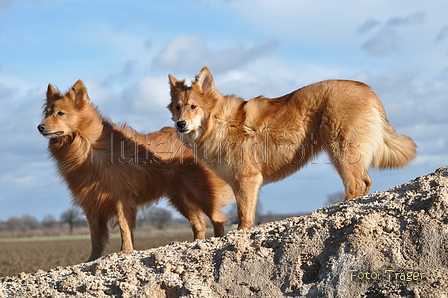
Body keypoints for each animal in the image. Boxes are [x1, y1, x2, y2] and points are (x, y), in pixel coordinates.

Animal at [38, 79, 233, 260]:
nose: (40, 127)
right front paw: (93, 259)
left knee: (217, 220)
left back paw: (215, 242)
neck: (88, 146)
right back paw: (195, 244)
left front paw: (125, 250)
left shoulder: (121, 198)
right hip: (180, 197)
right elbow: (96, 237)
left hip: (201, 192)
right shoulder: (91, 204)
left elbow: (124, 227)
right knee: (199, 224)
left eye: (60, 113)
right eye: (47, 113)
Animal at [168, 67, 416, 230]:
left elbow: (244, 216)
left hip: (342, 151)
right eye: (178, 107)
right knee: (365, 182)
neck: (219, 122)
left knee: (356, 185)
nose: (180, 124)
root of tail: (368, 91)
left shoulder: (246, 180)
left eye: (193, 106)